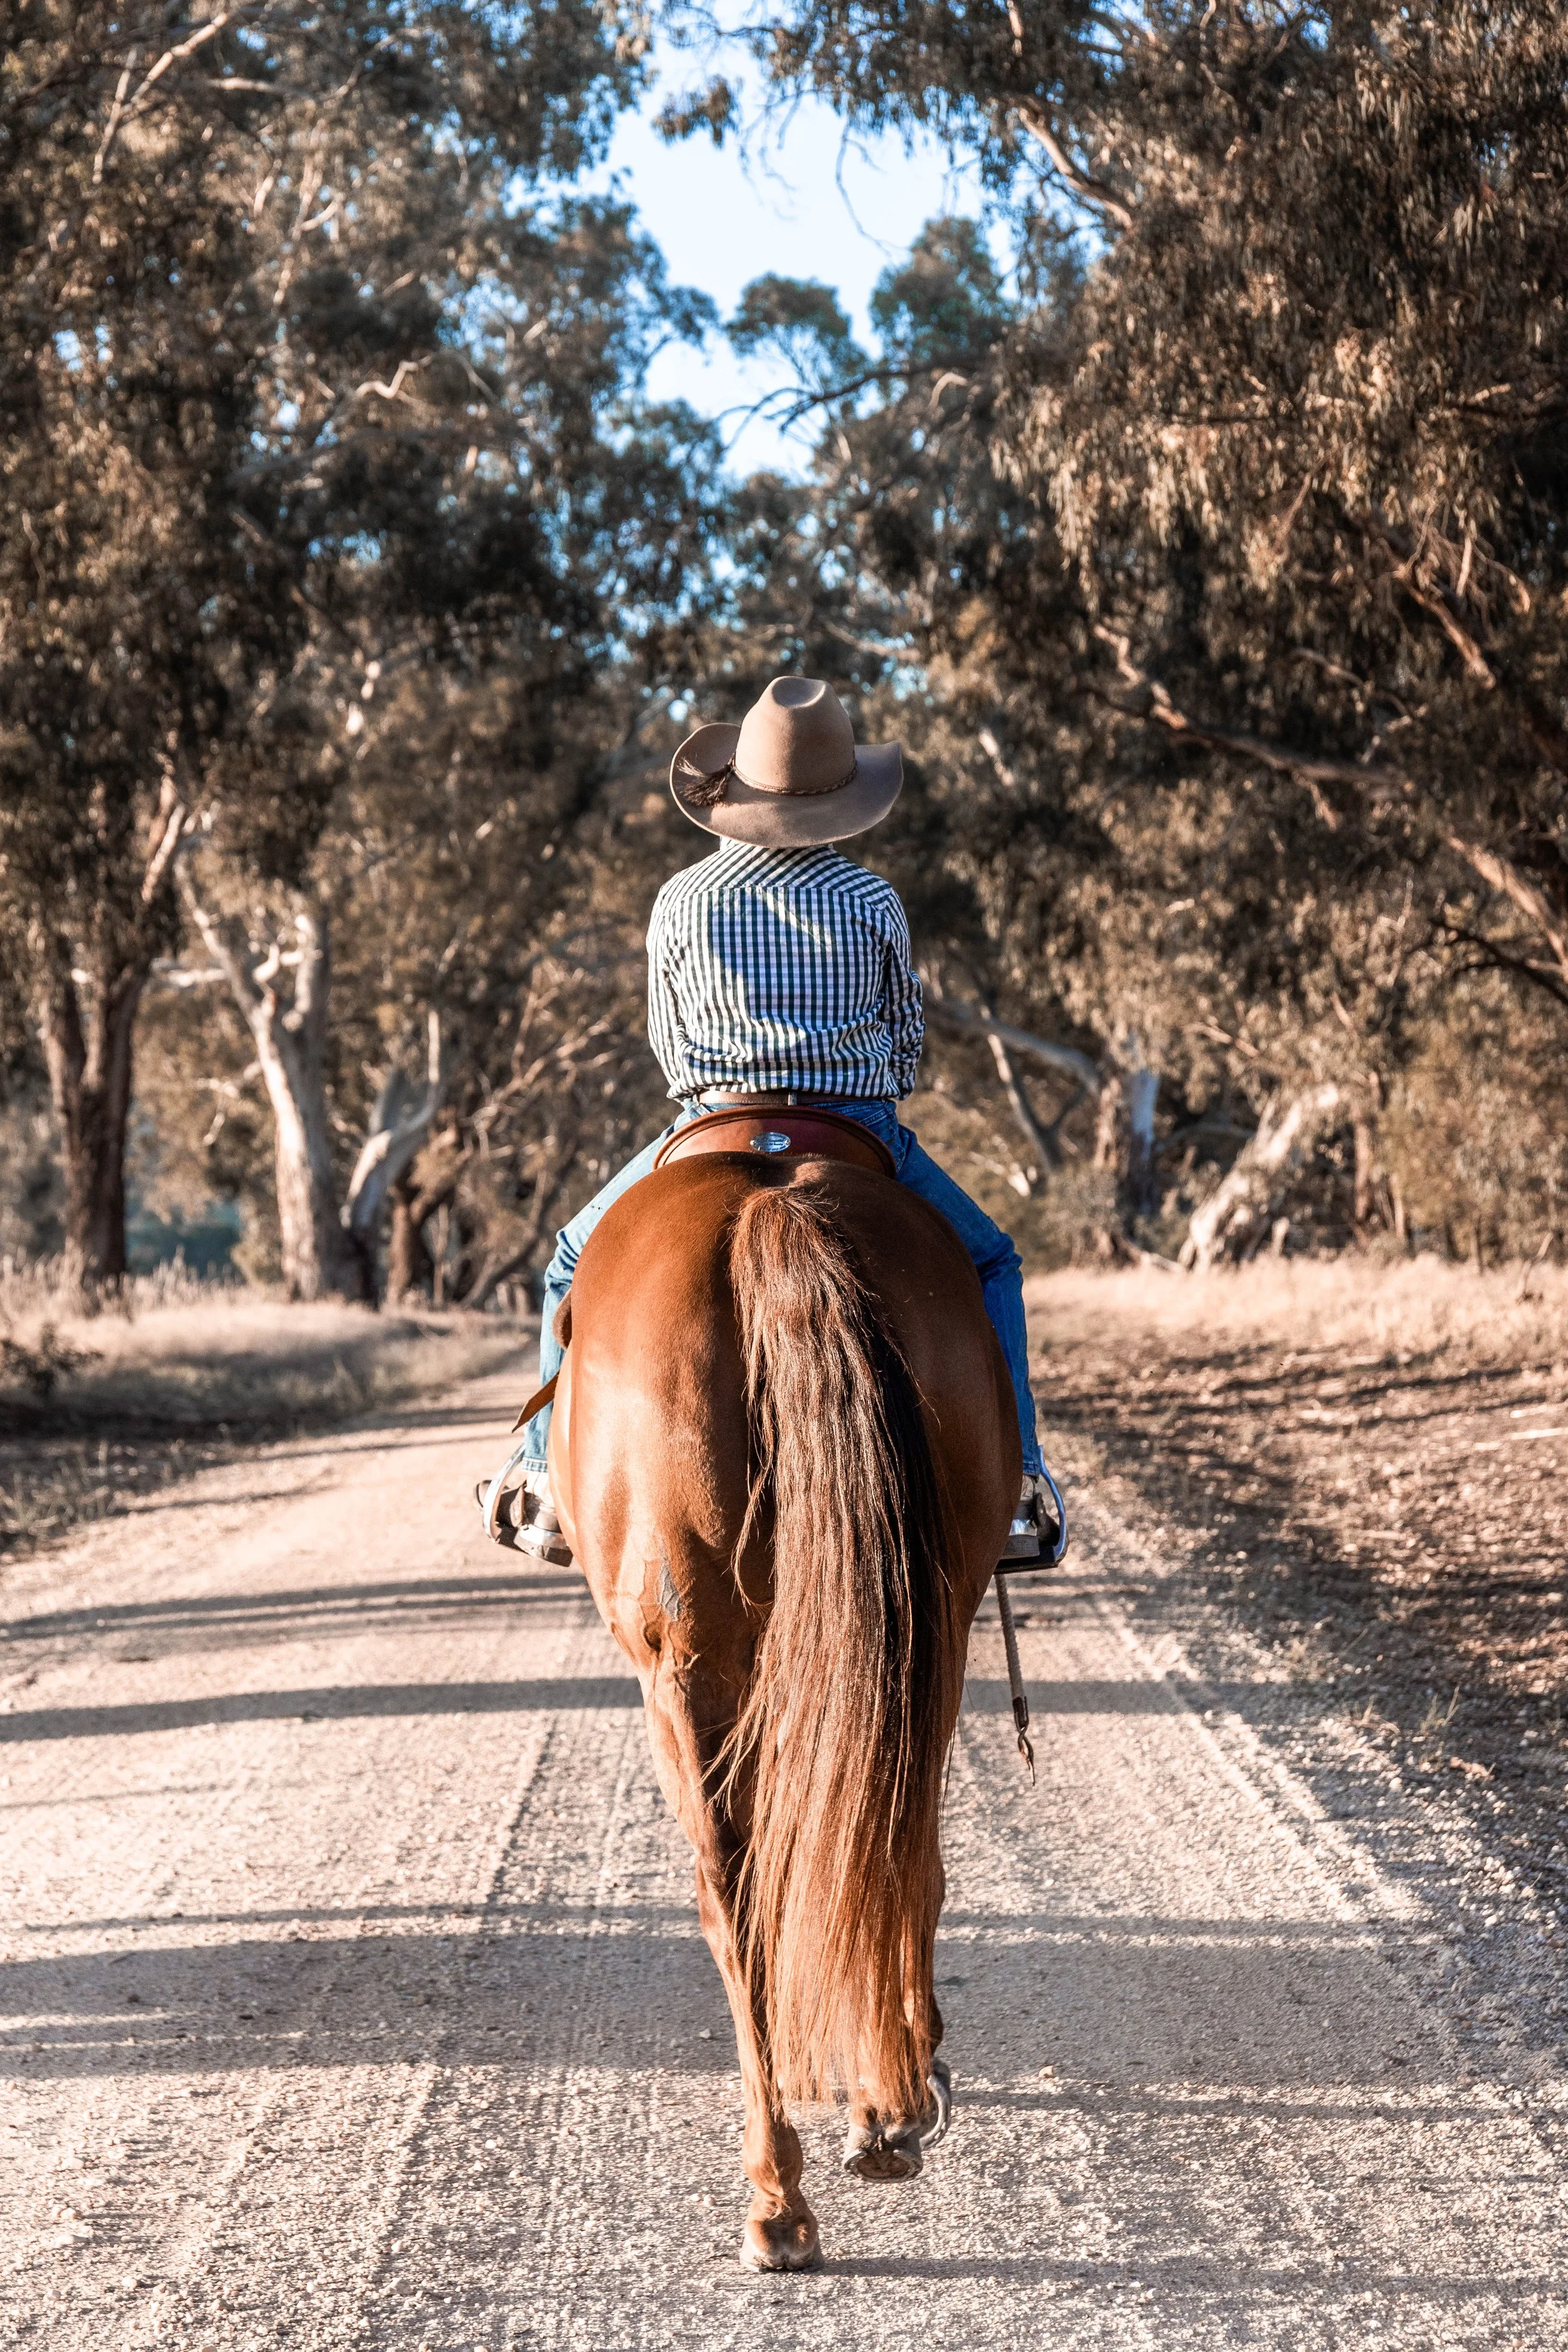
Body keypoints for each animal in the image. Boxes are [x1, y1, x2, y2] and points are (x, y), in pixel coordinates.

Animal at [544, 1121, 1018, 2271]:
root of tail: (773, 1200)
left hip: (692, 1658)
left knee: (743, 1889)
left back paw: (789, 2184)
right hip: (915, 1626)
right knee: (882, 1841)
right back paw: (858, 2134)